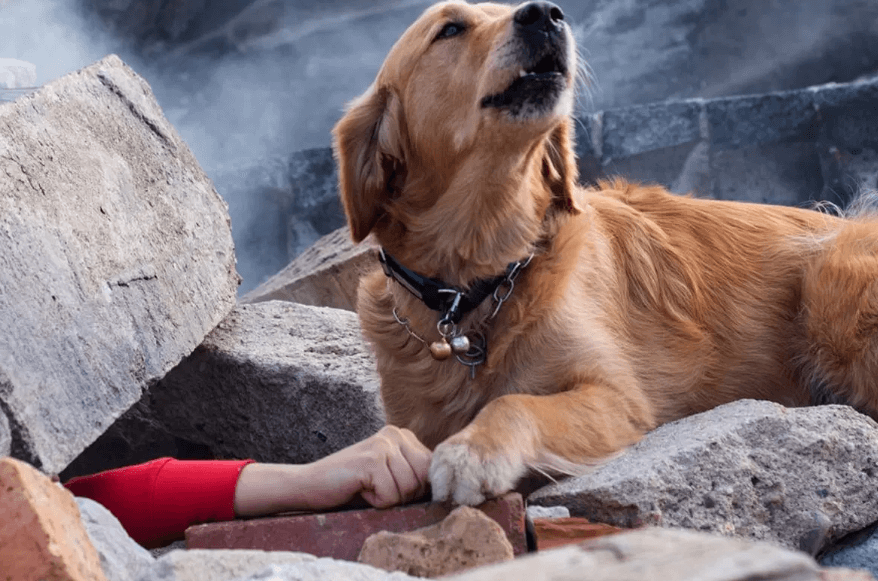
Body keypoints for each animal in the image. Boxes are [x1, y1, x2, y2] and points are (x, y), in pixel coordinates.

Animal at [332, 0, 878, 506]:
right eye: (449, 29)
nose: (545, 14)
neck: (475, 287)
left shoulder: (616, 397)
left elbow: (515, 403)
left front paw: (473, 451)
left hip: (831, 280)